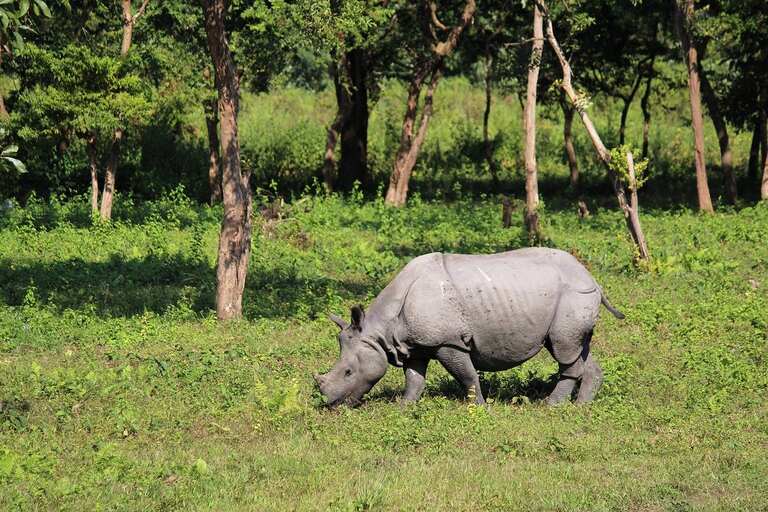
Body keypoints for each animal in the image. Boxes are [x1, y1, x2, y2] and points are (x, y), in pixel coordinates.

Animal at [314, 248, 624, 407]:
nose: (331, 403)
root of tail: (592, 278)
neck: (380, 331)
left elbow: (467, 375)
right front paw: (404, 408)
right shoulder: (414, 344)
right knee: (577, 348)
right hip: (573, 296)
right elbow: (414, 378)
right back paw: (581, 407)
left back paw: (551, 407)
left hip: (573, 294)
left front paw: (480, 409)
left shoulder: (448, 342)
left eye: (348, 372)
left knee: (564, 349)